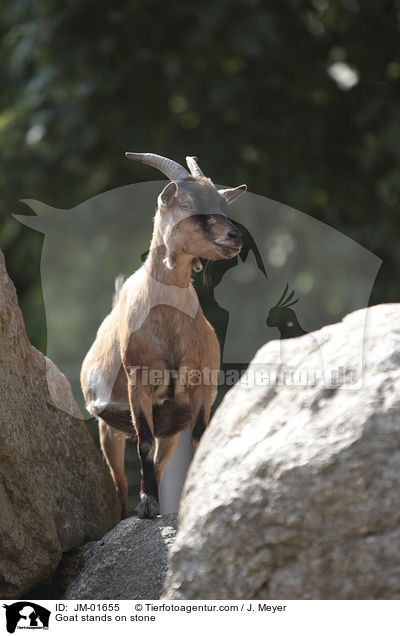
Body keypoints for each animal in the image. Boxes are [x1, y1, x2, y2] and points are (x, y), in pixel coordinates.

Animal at [79, 153, 245, 516]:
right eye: (186, 203)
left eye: (221, 203)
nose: (234, 237)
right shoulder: (138, 384)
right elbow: (142, 444)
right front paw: (146, 505)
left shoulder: (200, 388)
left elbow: (199, 439)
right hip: (108, 428)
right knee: (120, 480)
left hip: (169, 429)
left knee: (159, 461)